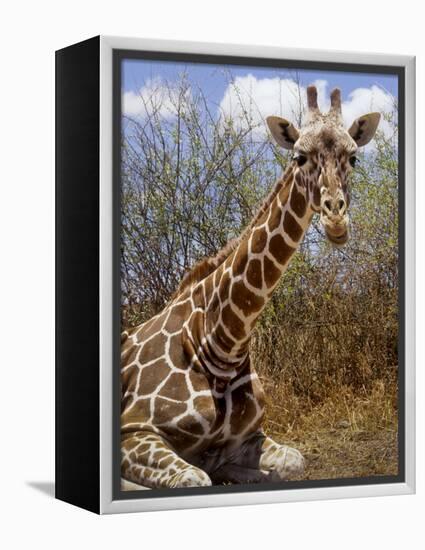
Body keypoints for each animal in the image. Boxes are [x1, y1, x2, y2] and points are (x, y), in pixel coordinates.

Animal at [121, 86, 380, 492]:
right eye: (299, 157)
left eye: (352, 157)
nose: (335, 218)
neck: (221, 341)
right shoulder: (133, 429)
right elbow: (193, 478)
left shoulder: (246, 437)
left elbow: (293, 462)